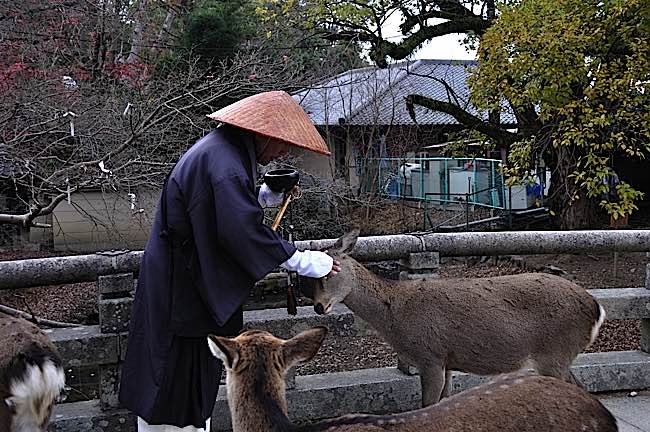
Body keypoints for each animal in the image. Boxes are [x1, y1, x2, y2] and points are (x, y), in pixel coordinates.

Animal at [306, 231, 604, 406]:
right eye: (307, 276)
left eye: (330, 271)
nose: (319, 306)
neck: (396, 318)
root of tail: (596, 309)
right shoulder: (447, 359)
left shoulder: (430, 355)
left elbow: (427, 405)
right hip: (560, 356)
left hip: (555, 352)